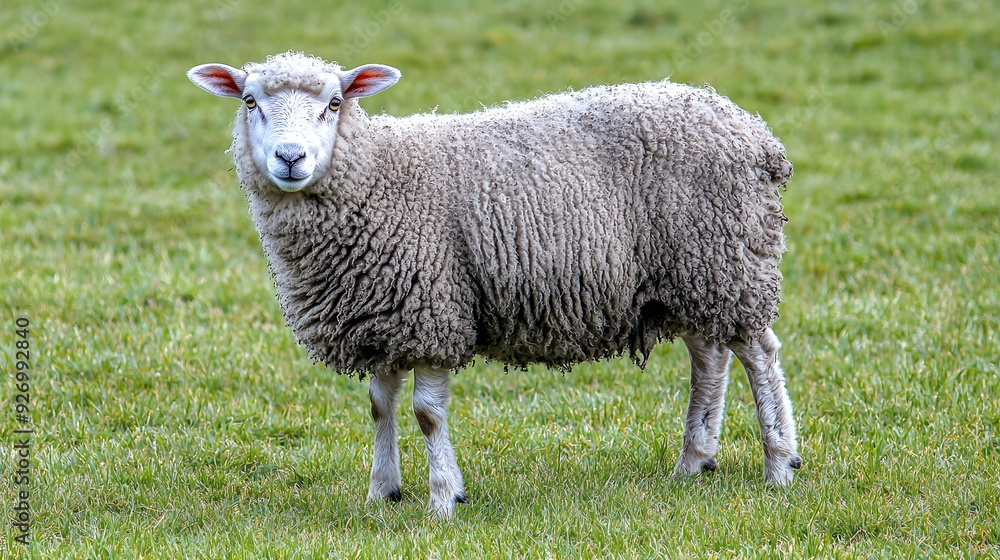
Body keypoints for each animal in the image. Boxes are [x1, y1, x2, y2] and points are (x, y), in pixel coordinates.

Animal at [187, 52, 800, 518]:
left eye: (334, 104)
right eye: (249, 102)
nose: (291, 157)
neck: (378, 175)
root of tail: (757, 136)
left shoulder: (432, 307)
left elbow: (426, 414)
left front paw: (443, 500)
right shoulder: (383, 314)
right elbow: (381, 407)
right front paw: (382, 493)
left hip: (727, 260)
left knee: (759, 353)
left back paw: (780, 463)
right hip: (689, 274)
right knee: (710, 357)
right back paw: (694, 462)